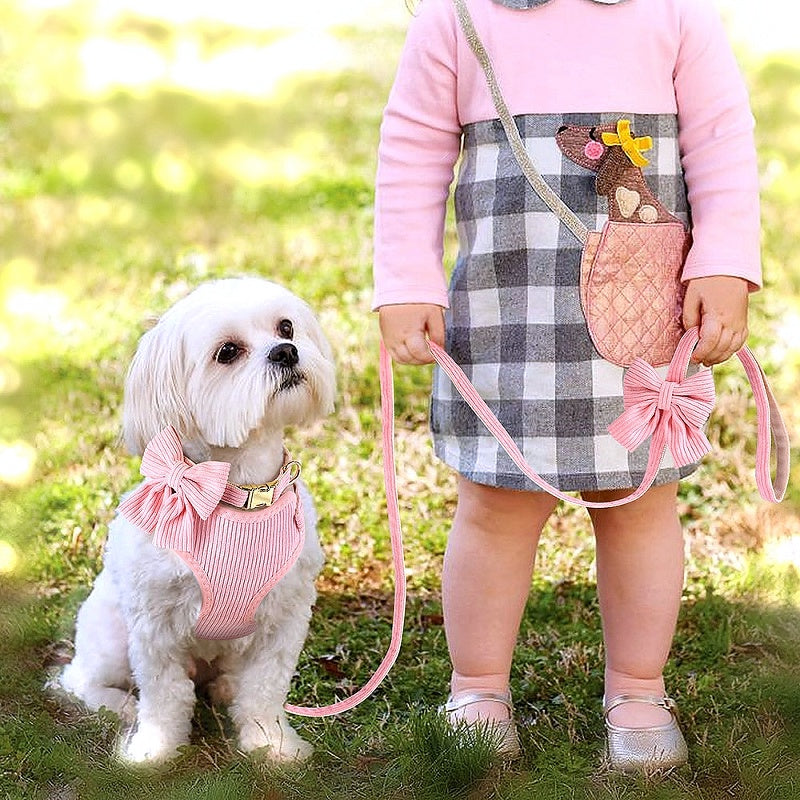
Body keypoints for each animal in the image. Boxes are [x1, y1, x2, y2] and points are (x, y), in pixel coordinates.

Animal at [56, 278, 336, 764]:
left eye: (286, 327)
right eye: (227, 352)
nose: (286, 351)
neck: (239, 493)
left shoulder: (284, 617)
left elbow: (265, 689)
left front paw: (272, 743)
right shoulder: (154, 627)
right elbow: (164, 695)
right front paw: (154, 750)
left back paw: (225, 689)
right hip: (111, 637)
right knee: (81, 679)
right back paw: (117, 704)